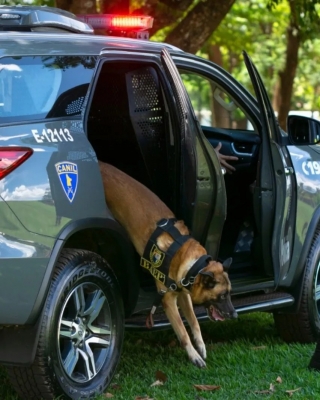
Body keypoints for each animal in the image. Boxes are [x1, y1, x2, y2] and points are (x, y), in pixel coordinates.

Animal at [99, 161, 236, 368]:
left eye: (229, 294)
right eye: (222, 296)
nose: (235, 315)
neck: (192, 264)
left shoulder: (184, 295)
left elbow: (194, 322)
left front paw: (201, 346)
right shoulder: (169, 301)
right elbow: (183, 332)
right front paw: (194, 356)